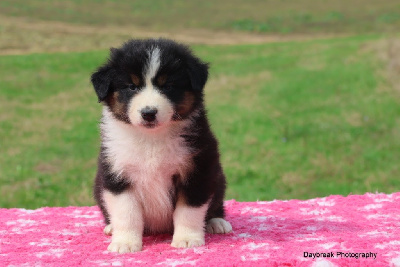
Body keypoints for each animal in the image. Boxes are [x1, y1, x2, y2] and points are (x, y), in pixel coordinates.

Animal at [90, 38, 231, 254]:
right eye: (131, 87)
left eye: (168, 86)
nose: (149, 113)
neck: (151, 138)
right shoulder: (117, 174)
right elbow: (127, 213)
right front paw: (125, 243)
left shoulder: (197, 169)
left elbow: (188, 210)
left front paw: (187, 239)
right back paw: (111, 227)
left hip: (218, 178)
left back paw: (217, 222)